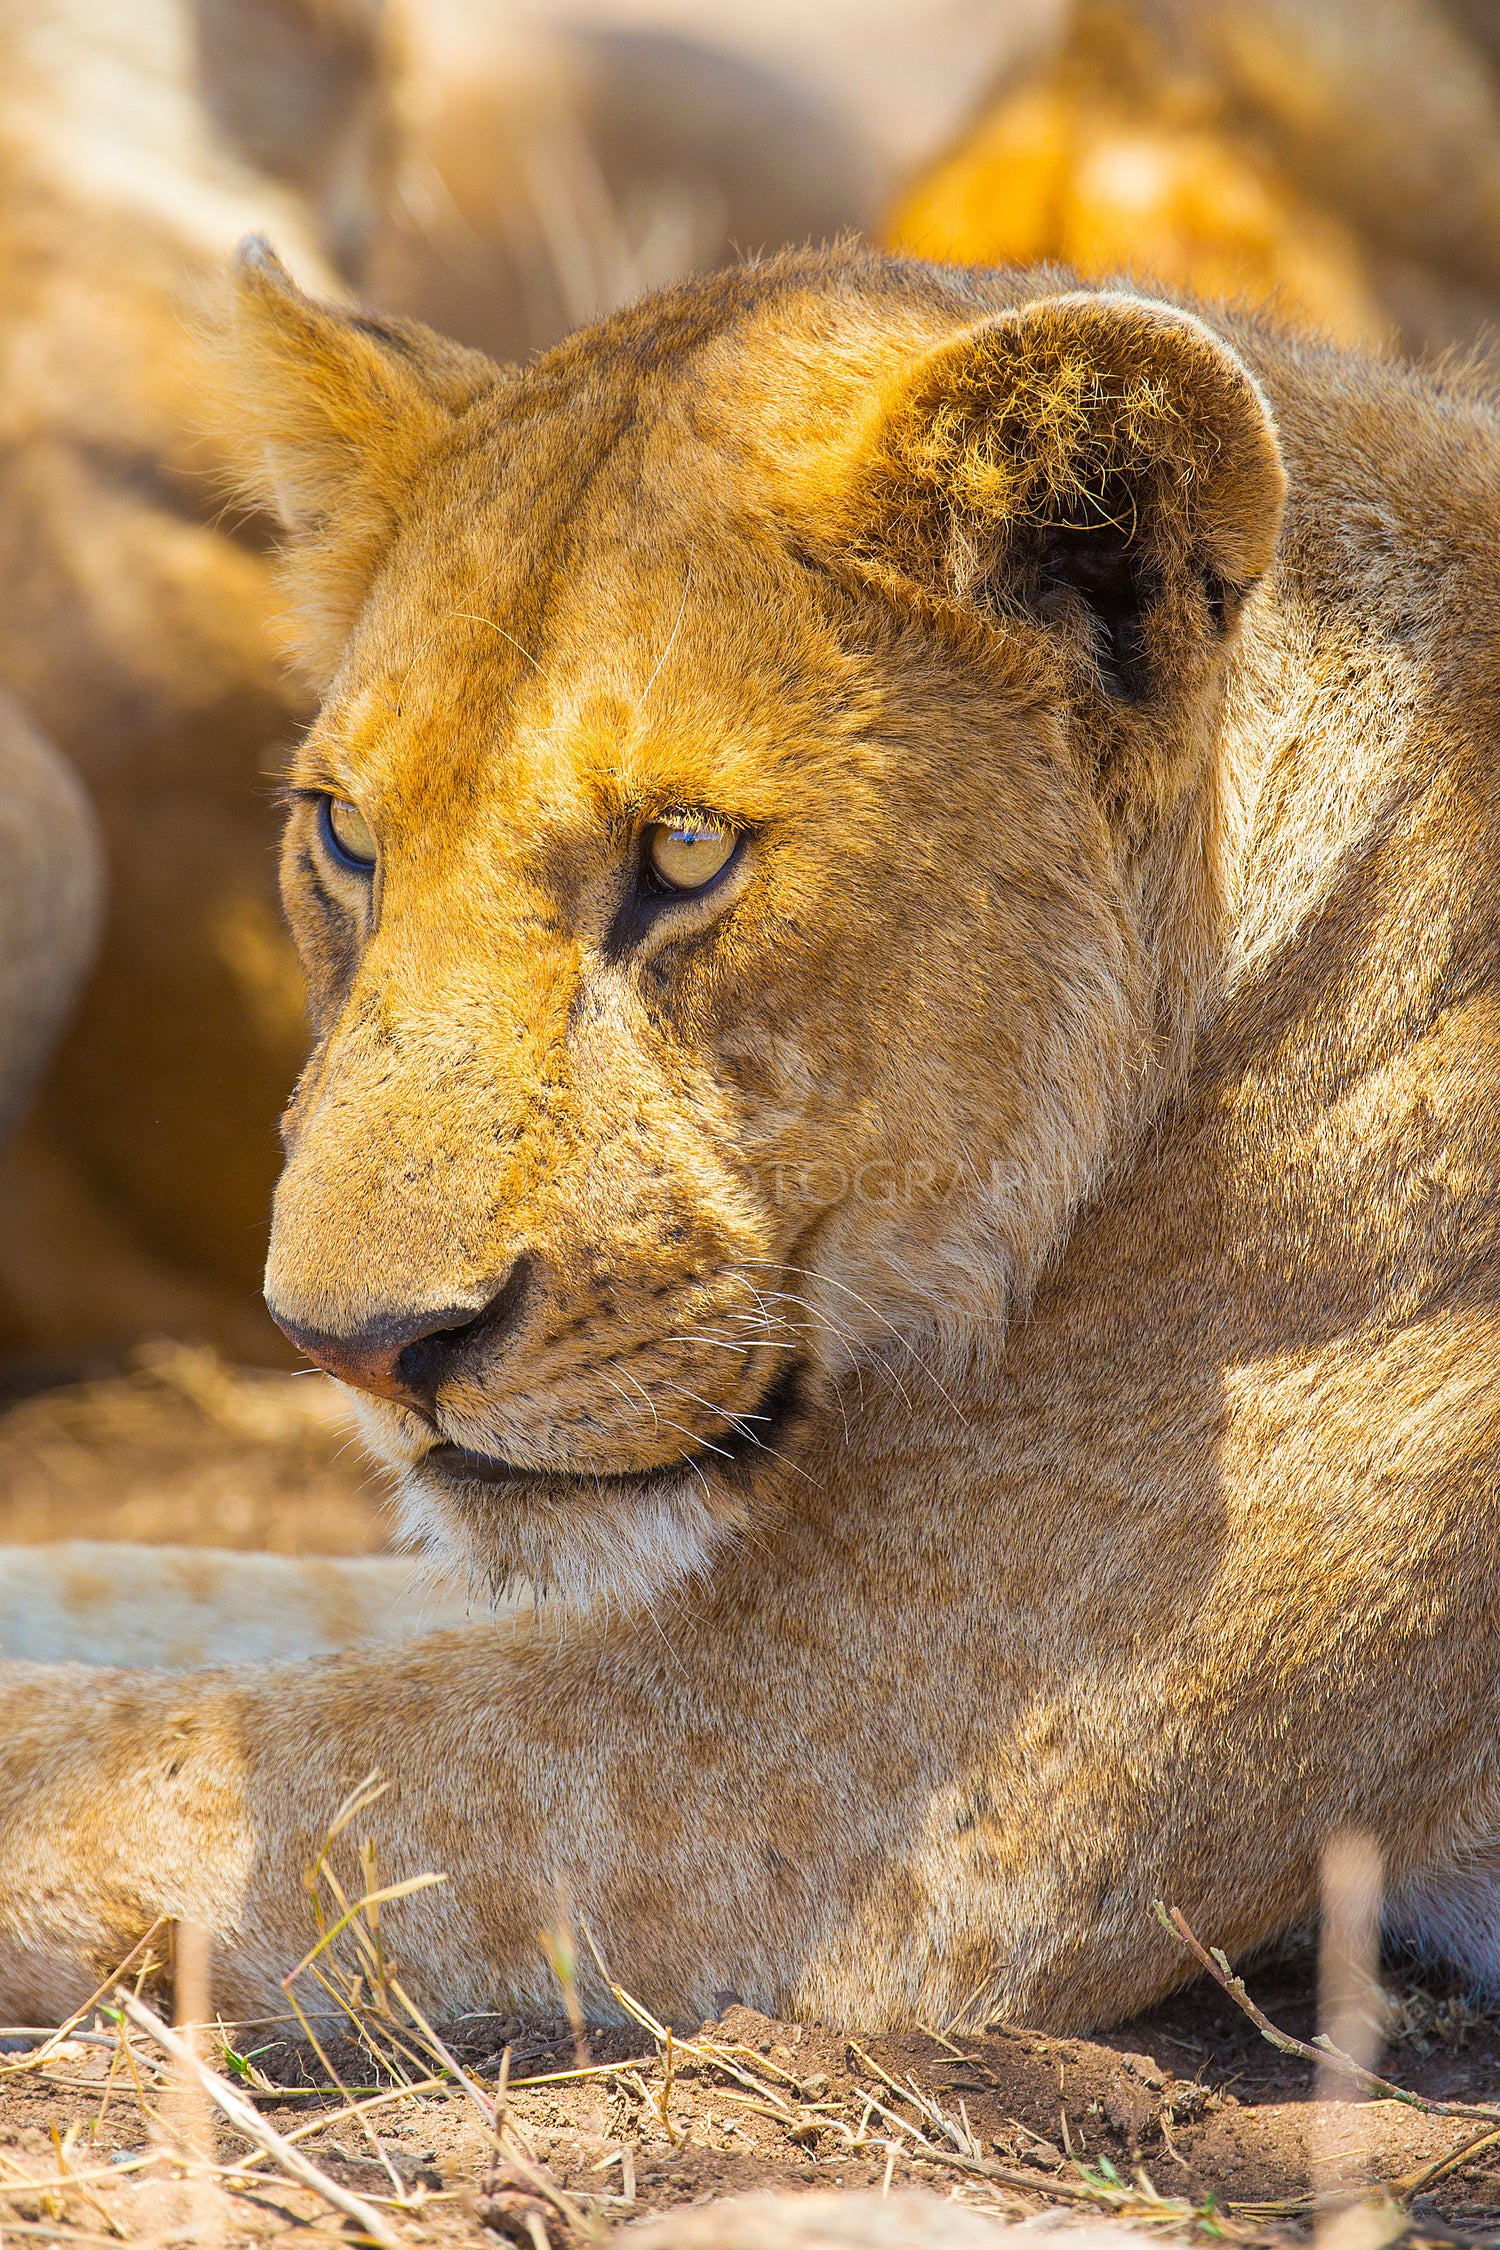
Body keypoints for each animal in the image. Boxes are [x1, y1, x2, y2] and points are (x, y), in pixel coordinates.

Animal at [2, 241, 1500, 2043]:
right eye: (348, 835)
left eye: (688, 851)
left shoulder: (863, 1786)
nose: (358, 1351)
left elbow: (130, 1761)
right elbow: (166, 1594)